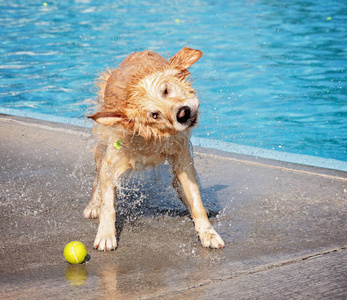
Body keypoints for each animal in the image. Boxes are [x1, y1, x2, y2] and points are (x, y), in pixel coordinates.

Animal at [84, 47, 226, 251]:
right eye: (154, 115)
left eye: (165, 90)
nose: (184, 113)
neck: (154, 137)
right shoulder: (113, 161)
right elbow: (107, 203)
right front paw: (105, 234)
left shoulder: (182, 156)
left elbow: (195, 200)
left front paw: (208, 233)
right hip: (101, 140)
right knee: (97, 175)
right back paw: (93, 204)